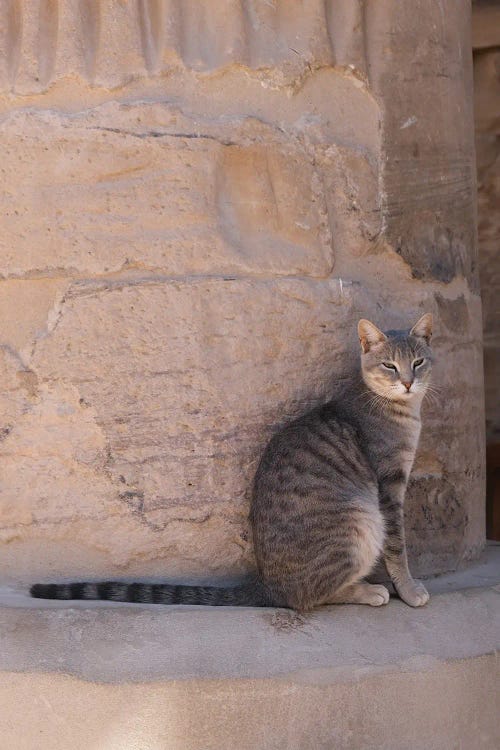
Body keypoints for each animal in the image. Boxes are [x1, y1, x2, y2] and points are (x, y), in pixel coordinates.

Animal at [29, 314, 432, 612]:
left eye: (418, 362)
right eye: (389, 365)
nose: (408, 382)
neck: (399, 412)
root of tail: (268, 586)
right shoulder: (389, 485)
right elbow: (398, 547)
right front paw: (409, 589)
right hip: (361, 521)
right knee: (306, 598)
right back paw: (366, 590)